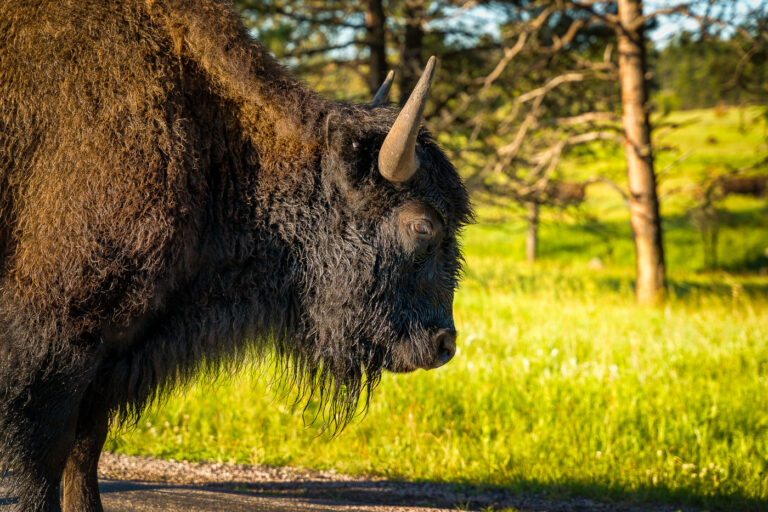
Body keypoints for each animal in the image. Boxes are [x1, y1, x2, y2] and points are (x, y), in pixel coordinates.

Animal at [0, 1, 472, 511]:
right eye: (422, 225)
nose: (444, 344)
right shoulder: (56, 338)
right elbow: (49, 454)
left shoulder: (112, 351)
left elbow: (85, 449)